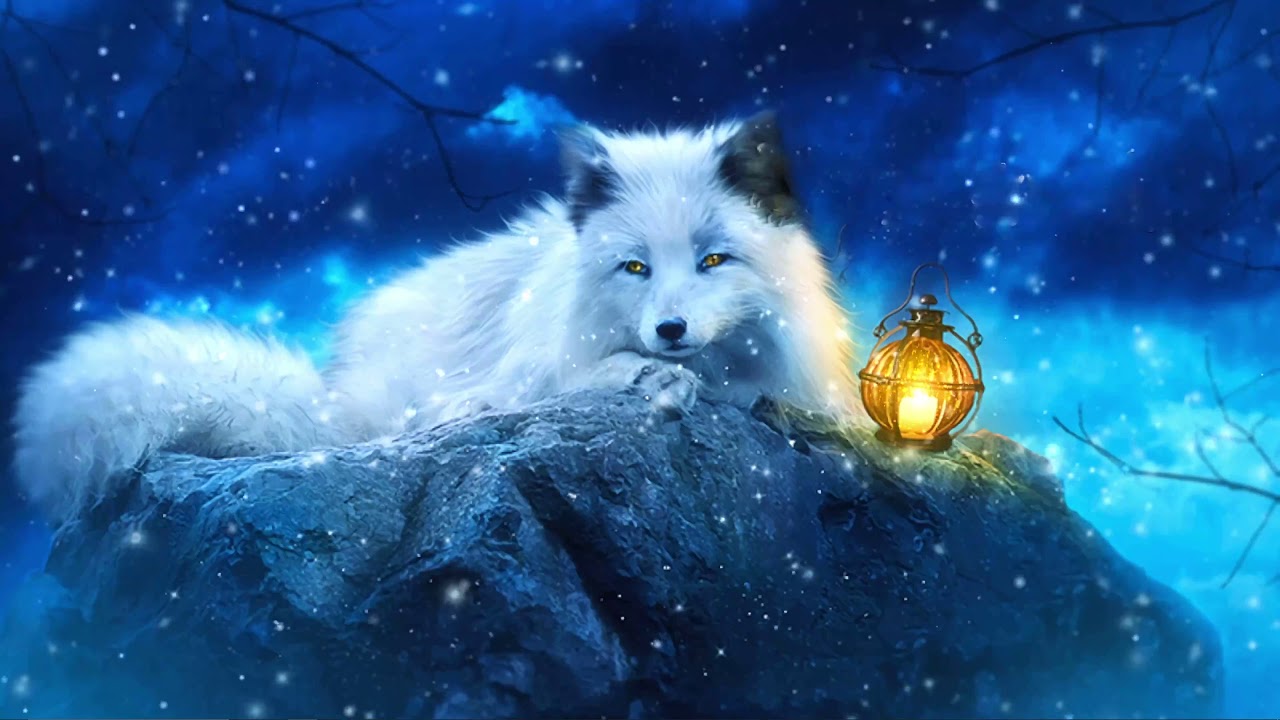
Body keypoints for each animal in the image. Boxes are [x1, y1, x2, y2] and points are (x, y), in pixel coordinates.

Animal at [12, 111, 865, 524]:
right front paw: (650, 378)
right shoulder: (545, 362)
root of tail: (335, 389)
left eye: (714, 260)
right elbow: (583, 377)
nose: (670, 331)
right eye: (636, 268)